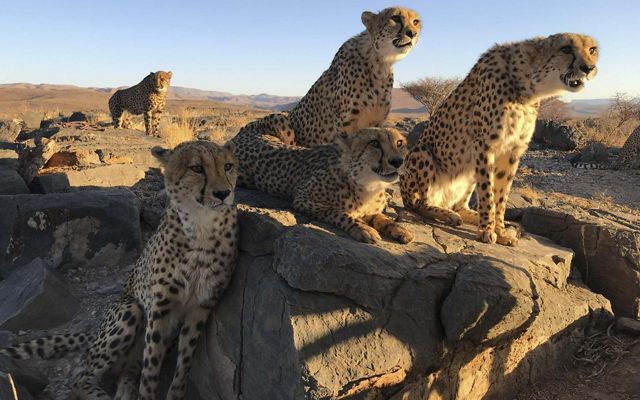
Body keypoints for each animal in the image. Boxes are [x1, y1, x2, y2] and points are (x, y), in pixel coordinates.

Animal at [1, 139, 239, 398]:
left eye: (227, 166)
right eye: (197, 168)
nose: (223, 193)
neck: (201, 226)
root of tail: (95, 333)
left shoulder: (200, 308)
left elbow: (183, 366)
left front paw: (174, 393)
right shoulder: (159, 308)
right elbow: (151, 370)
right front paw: (147, 395)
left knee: (128, 369)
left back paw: (125, 390)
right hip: (129, 309)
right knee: (81, 377)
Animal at [232, 115, 412, 244]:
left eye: (399, 143)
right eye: (374, 143)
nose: (397, 161)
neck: (369, 183)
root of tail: (244, 132)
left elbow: (381, 217)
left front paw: (399, 229)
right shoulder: (304, 200)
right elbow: (340, 213)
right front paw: (363, 228)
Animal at [278, 6, 422, 147]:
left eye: (416, 21)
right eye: (395, 18)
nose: (412, 33)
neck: (379, 61)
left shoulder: (377, 122)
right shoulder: (345, 123)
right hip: (282, 119)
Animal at [400, 33, 600, 247]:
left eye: (592, 50)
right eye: (566, 49)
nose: (588, 68)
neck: (529, 86)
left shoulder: (513, 150)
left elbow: (501, 195)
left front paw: (501, 230)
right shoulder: (484, 145)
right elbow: (488, 192)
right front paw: (487, 230)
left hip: (468, 169)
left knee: (458, 205)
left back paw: (475, 217)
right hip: (422, 153)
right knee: (419, 203)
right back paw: (447, 214)